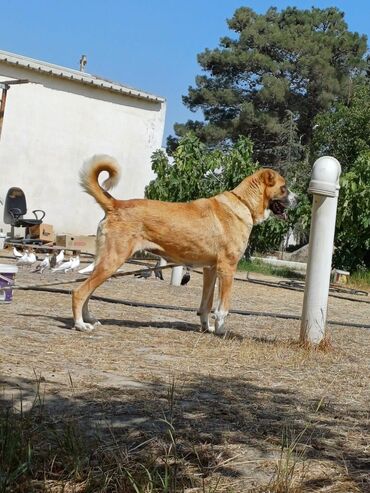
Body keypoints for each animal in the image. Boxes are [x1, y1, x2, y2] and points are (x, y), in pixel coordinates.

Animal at [72, 157, 296, 334]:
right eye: (284, 188)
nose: (298, 198)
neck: (243, 204)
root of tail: (115, 204)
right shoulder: (227, 269)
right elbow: (222, 308)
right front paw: (221, 331)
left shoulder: (210, 270)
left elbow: (206, 305)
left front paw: (207, 328)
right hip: (112, 262)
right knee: (79, 292)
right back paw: (81, 325)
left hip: (103, 263)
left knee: (88, 291)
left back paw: (89, 319)